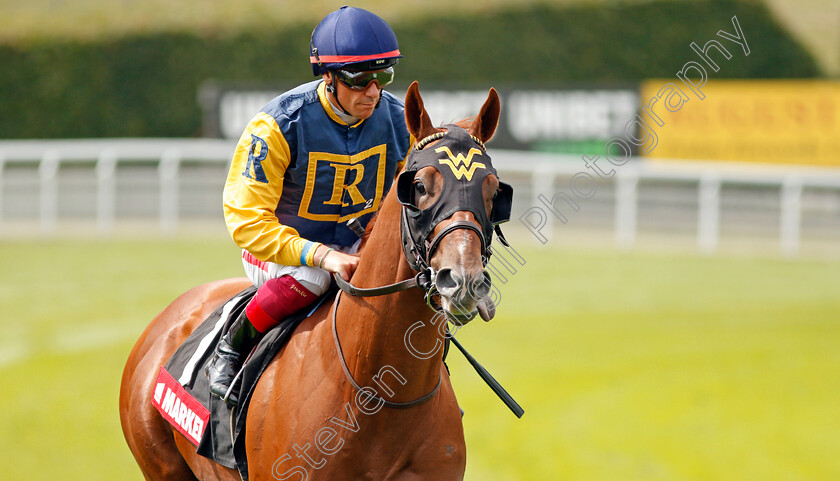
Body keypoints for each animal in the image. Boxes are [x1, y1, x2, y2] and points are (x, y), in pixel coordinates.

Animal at [120, 80, 506, 478]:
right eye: (420, 187)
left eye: (494, 190)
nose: (462, 280)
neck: (378, 392)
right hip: (160, 464)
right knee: (303, 280)